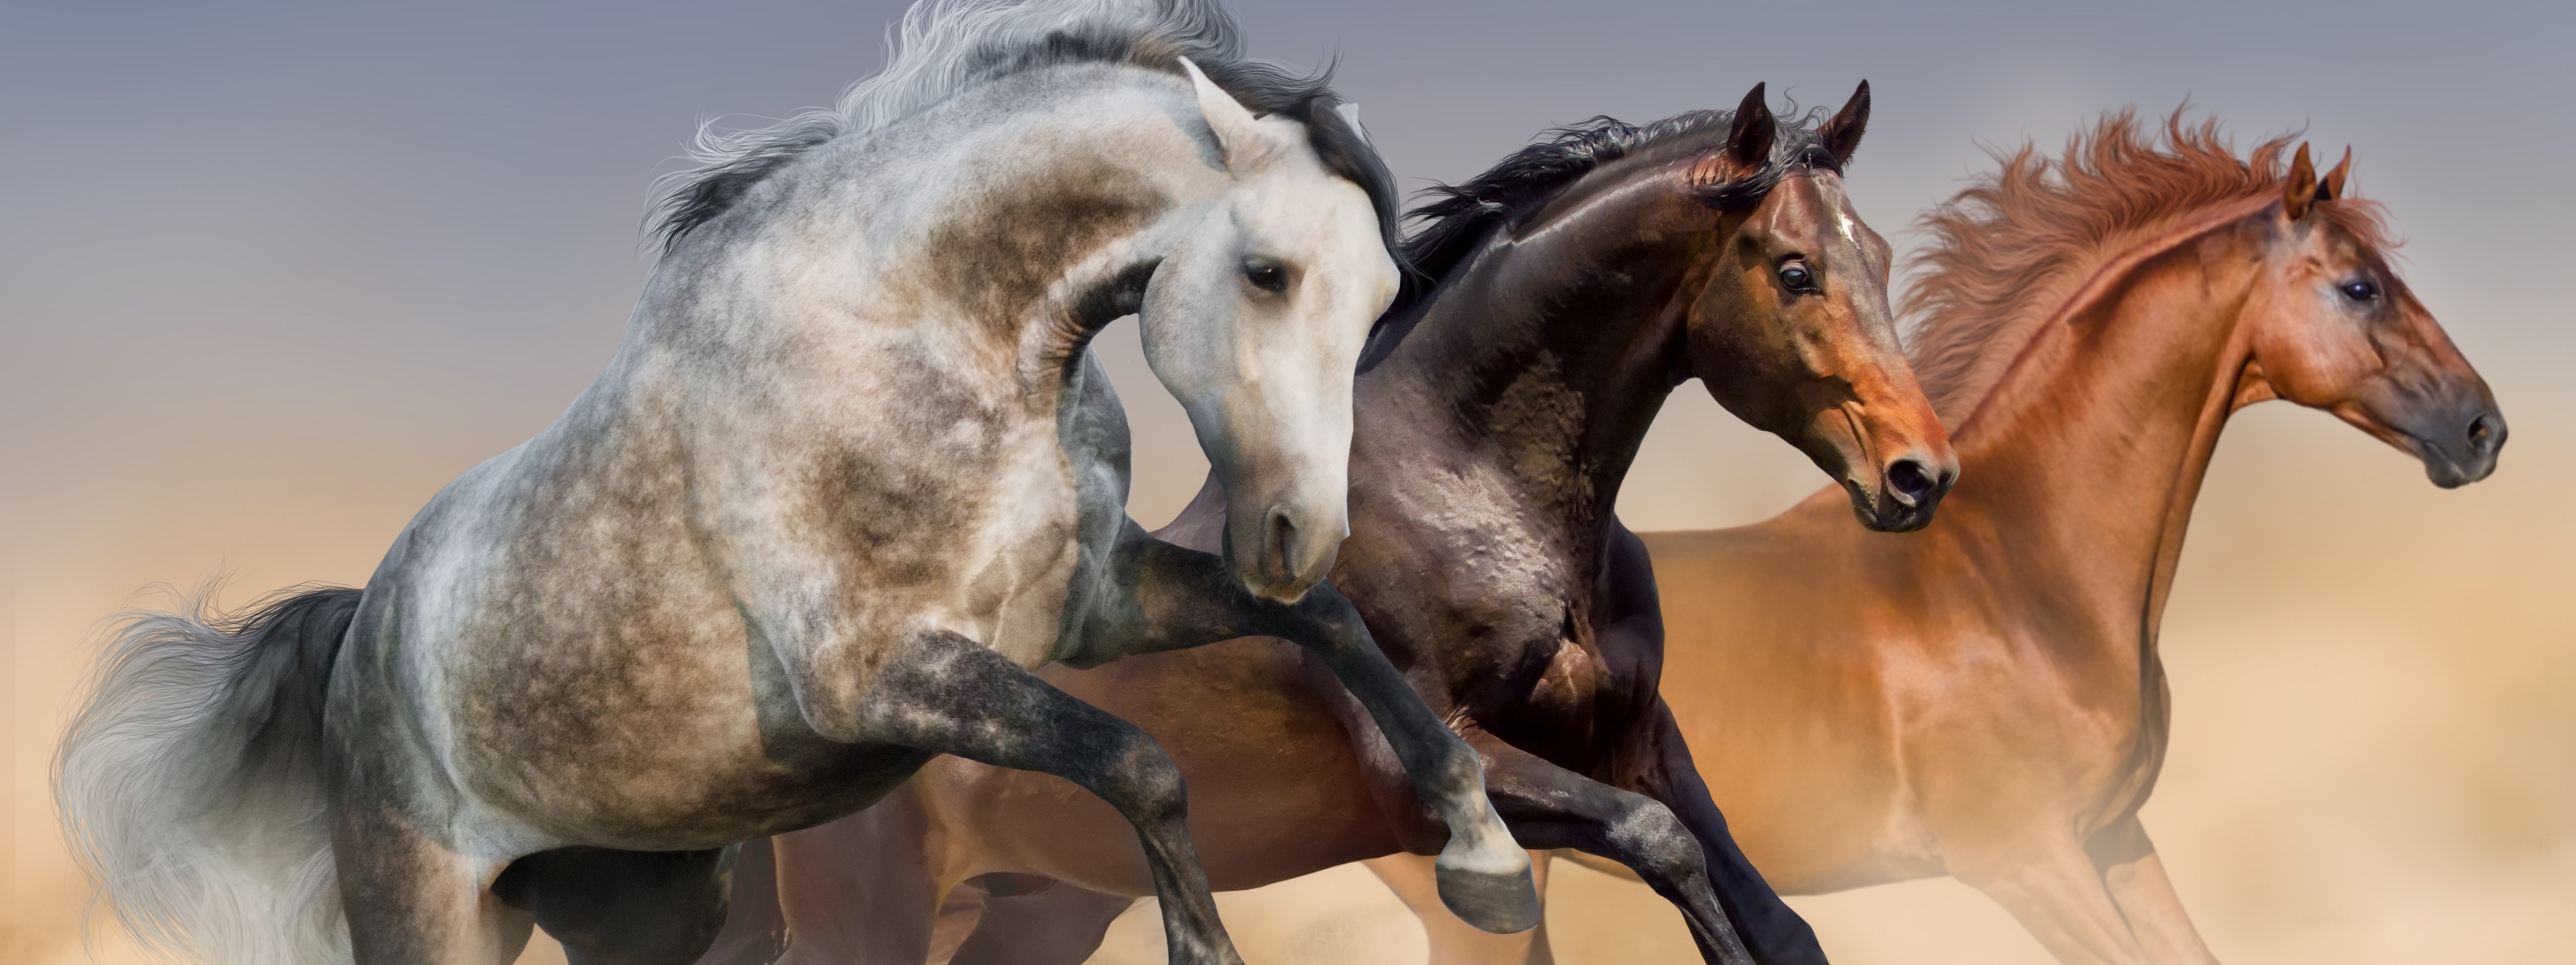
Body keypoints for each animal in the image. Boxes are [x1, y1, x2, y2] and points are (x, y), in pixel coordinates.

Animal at [49, 2, 1538, 962]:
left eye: (1387, 290)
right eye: (1269, 272)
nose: (1292, 531)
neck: (923, 342)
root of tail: (362, 629)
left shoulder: (1091, 607)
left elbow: (1330, 629)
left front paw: (1489, 864)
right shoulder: (880, 673)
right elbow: (1143, 763)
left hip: (650, 904)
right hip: (433, 916)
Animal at [709, 80, 1961, 965]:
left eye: (1877, 253)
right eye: (1792, 270)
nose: (1920, 474)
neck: (1479, 493)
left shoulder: (1634, 733)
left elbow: (1770, 913)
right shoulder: (1436, 779)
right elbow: (1663, 845)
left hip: (1033, 909)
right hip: (871, 914)